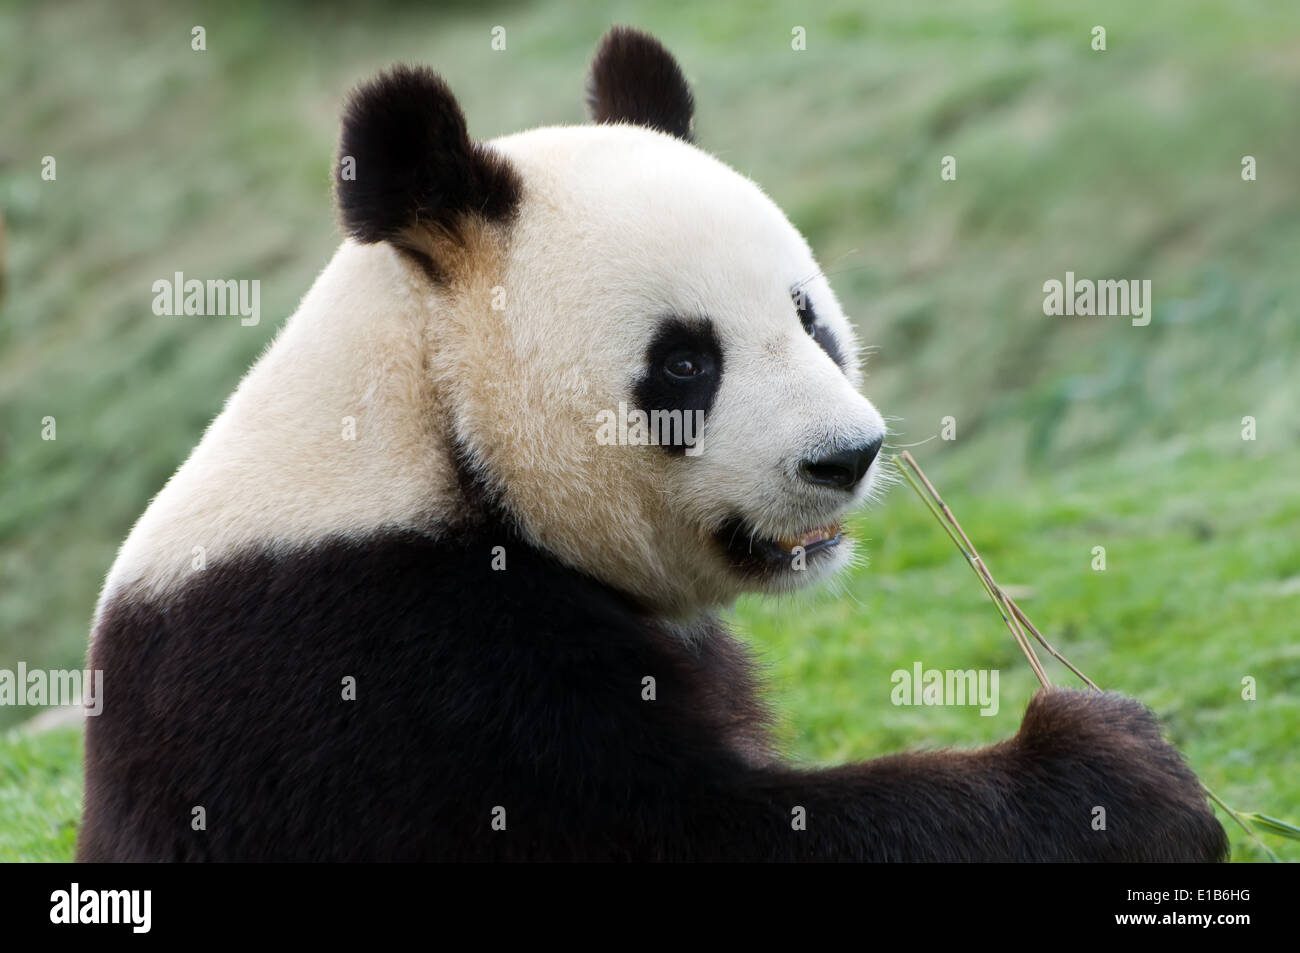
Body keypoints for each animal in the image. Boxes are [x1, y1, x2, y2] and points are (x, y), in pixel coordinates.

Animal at [78, 27, 1227, 862]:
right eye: (683, 363)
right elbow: (675, 832)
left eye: (807, 316)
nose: (845, 456)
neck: (429, 427)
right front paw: (1118, 775)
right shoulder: (366, 665)